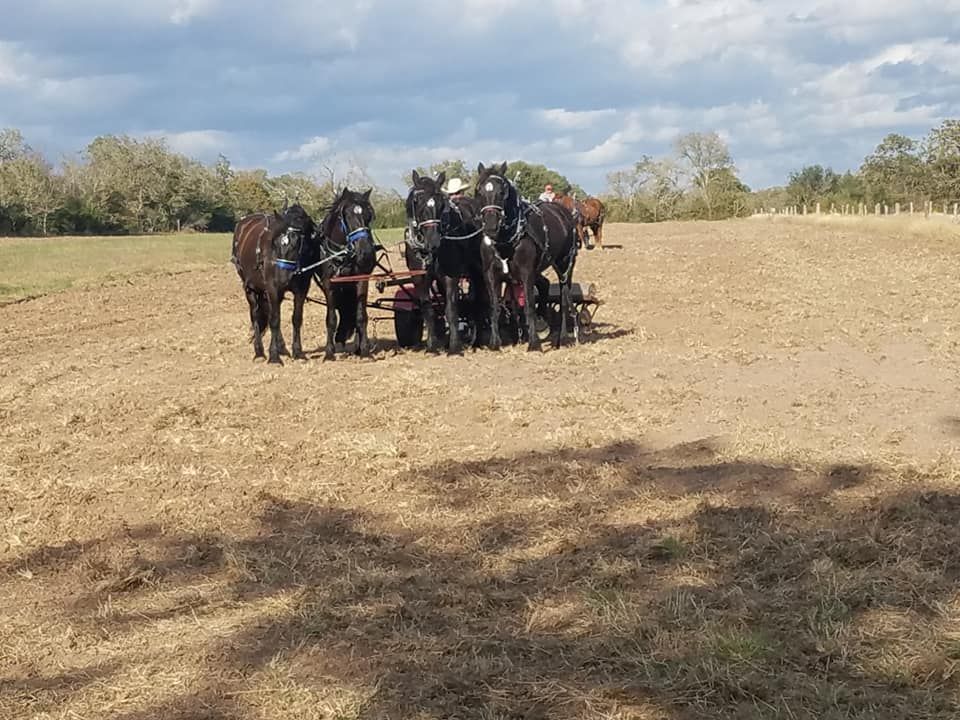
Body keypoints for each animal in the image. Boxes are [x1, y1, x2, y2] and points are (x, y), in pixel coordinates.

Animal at [314, 186, 376, 360]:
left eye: (369, 215)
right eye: (347, 216)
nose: (366, 253)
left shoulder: (361, 280)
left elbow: (361, 315)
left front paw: (365, 350)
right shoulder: (329, 284)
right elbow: (331, 318)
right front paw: (329, 352)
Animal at [404, 169, 484, 354]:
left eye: (441, 203)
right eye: (417, 201)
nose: (434, 241)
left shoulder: (451, 276)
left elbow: (451, 308)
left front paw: (454, 346)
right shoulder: (420, 278)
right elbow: (428, 309)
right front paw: (432, 346)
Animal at [474, 164, 576, 354]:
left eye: (502, 191)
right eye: (479, 191)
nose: (491, 225)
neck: (505, 240)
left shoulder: (526, 272)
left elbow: (529, 305)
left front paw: (534, 344)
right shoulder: (490, 274)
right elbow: (495, 307)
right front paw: (495, 342)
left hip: (564, 265)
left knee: (564, 298)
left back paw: (563, 338)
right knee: (544, 285)